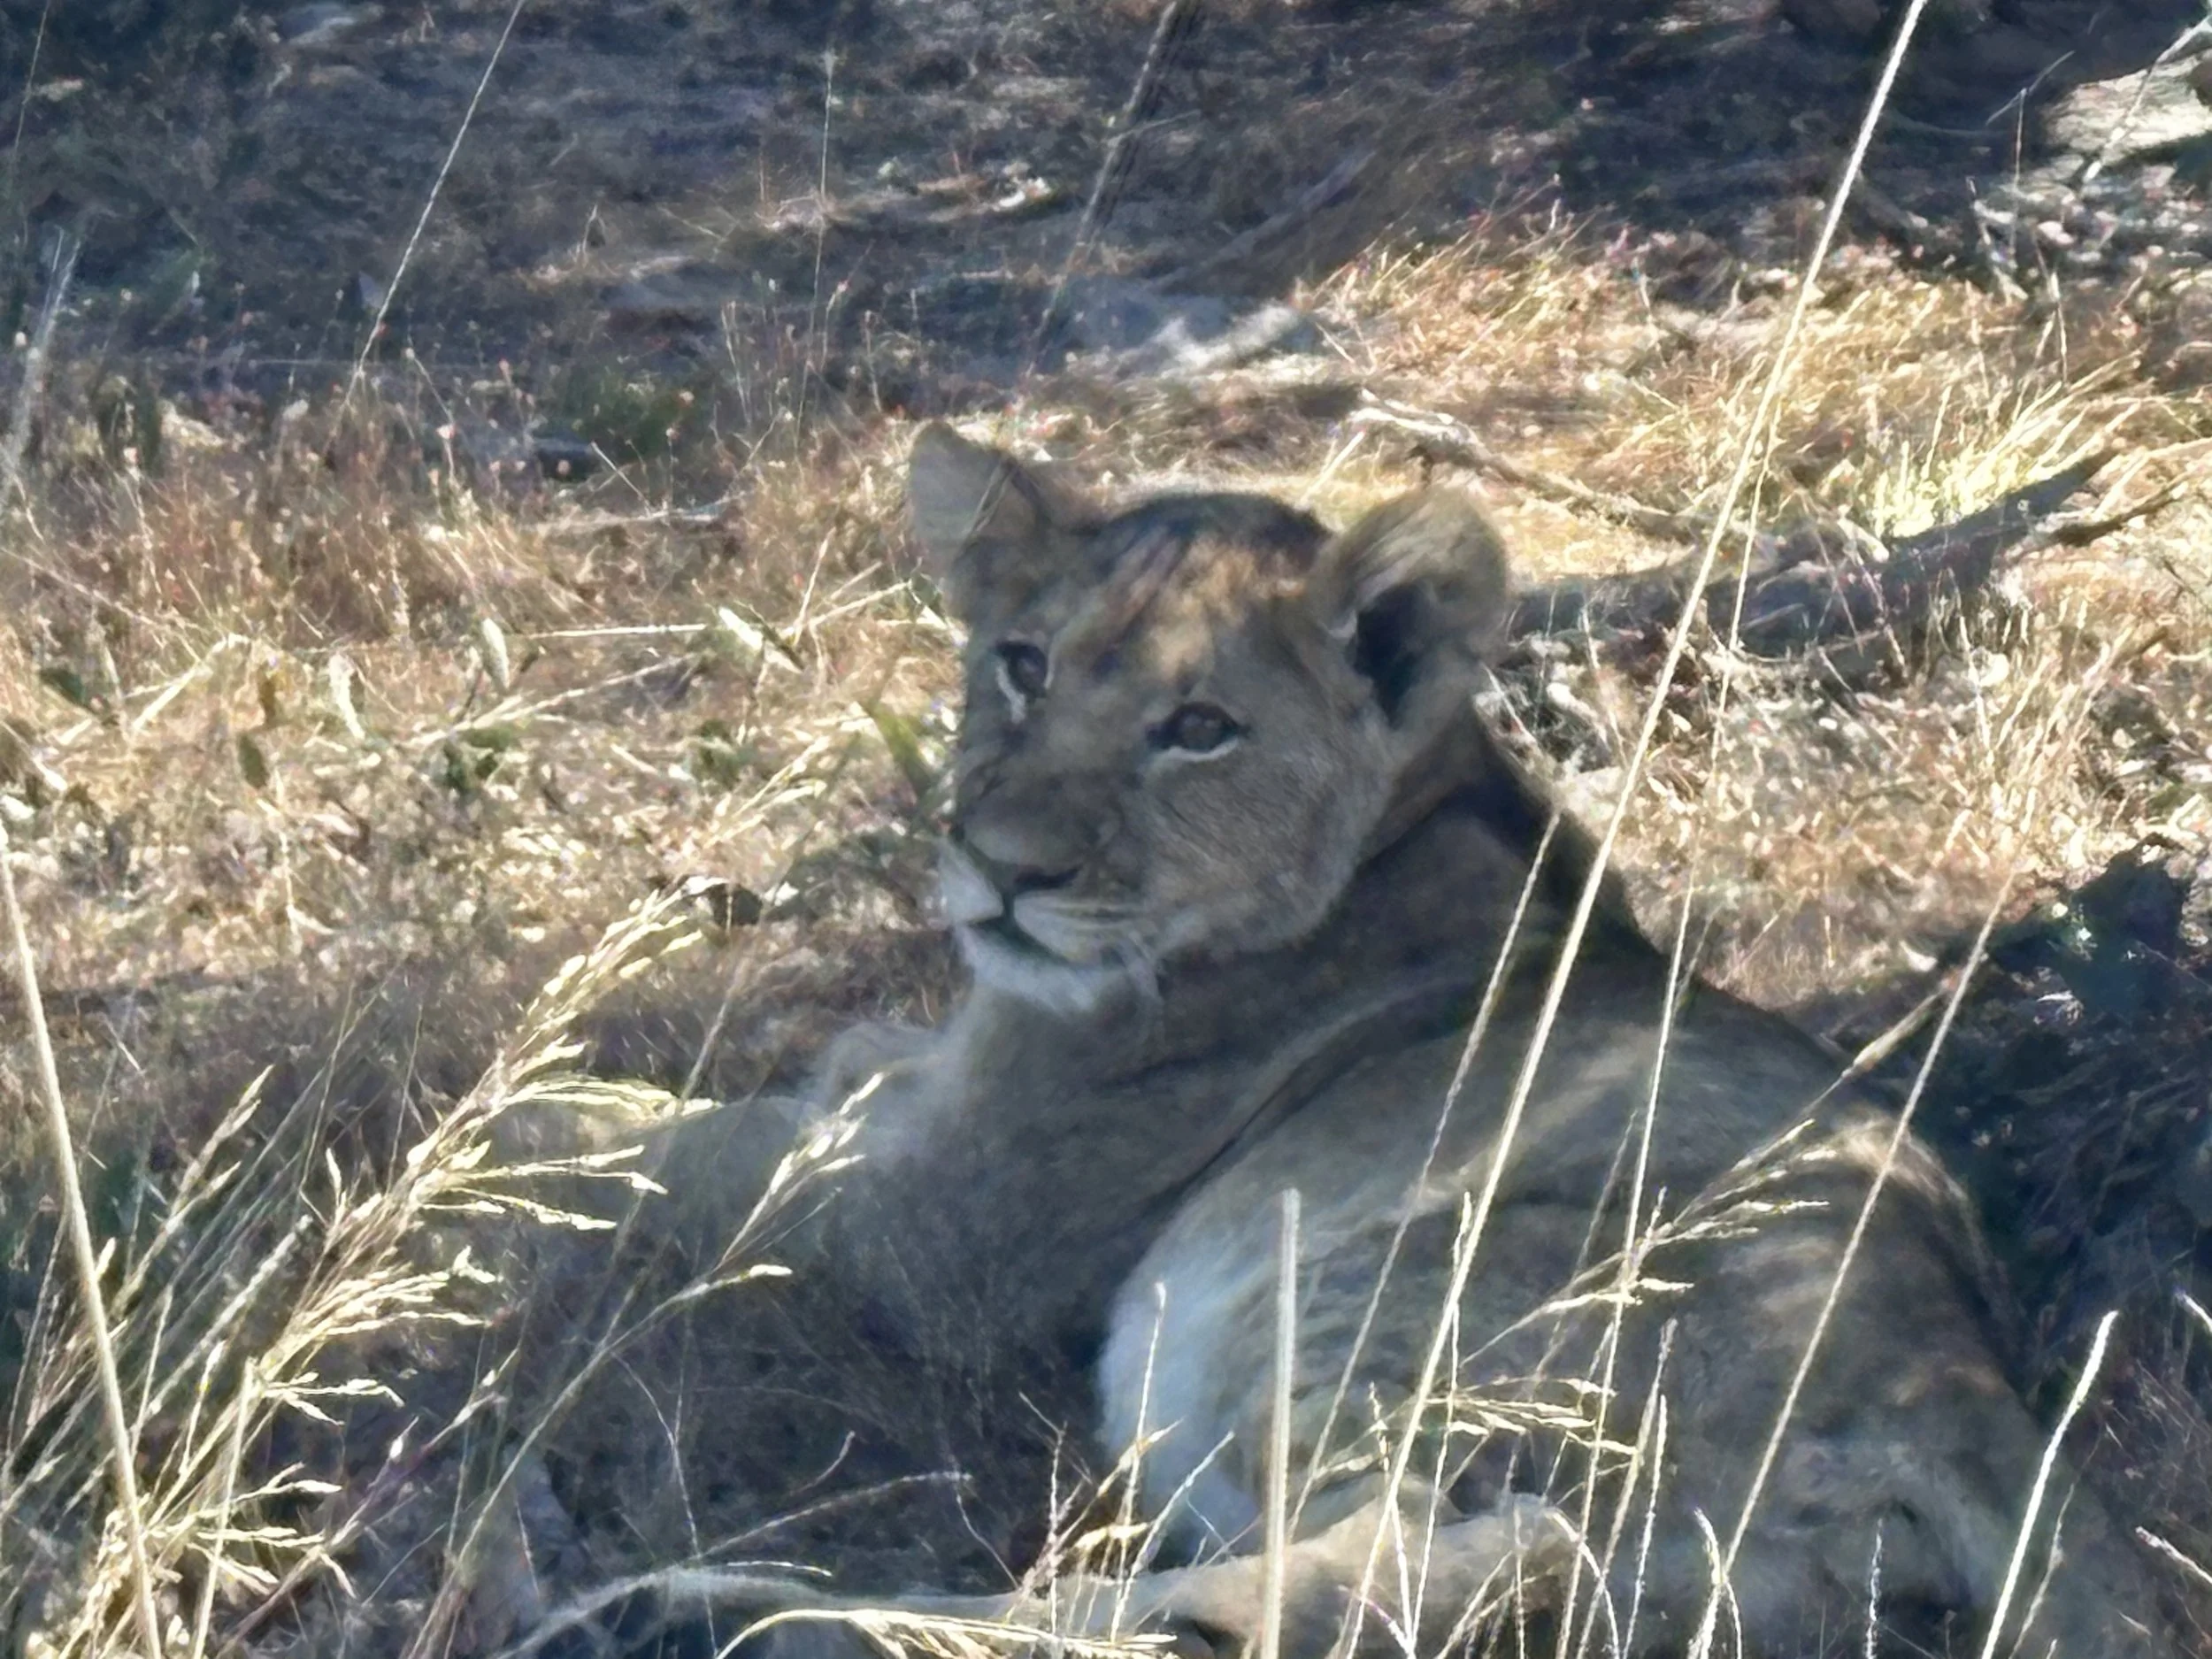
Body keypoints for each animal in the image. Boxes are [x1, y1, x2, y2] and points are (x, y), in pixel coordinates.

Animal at [601, 425, 2177, 1659]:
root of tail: (1961, 1379)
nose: (998, 869)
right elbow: (784, 1077)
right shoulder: (898, 1094)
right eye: (1021, 665)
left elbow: (631, 1154)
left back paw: (734, 1614)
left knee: (1401, 1564)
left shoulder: (926, 1232)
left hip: (1374, 1292)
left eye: (1199, 726)